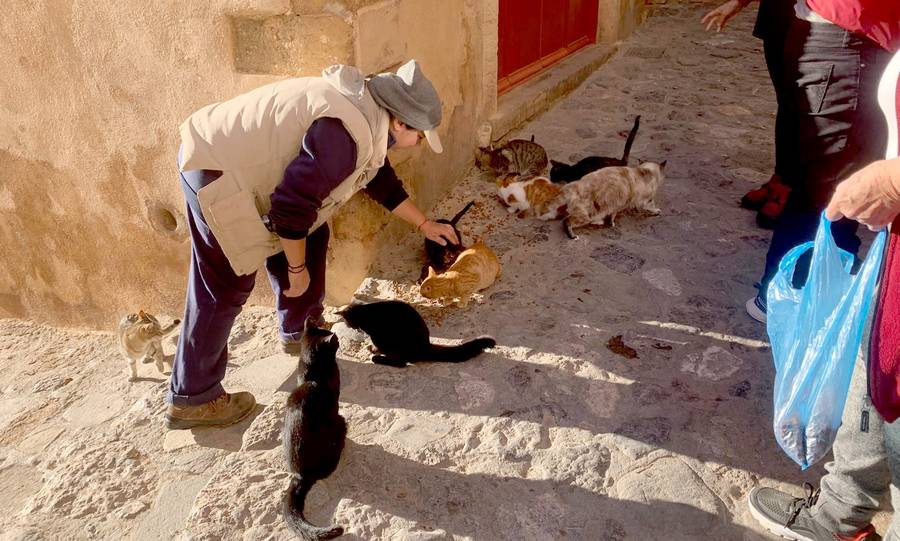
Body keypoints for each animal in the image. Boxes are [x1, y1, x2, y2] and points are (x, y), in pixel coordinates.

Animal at [338, 300, 496, 368]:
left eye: (347, 321)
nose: (349, 326)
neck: (364, 313)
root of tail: (425, 346)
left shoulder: (376, 334)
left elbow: (377, 346)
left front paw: (373, 349)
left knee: (401, 363)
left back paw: (378, 358)